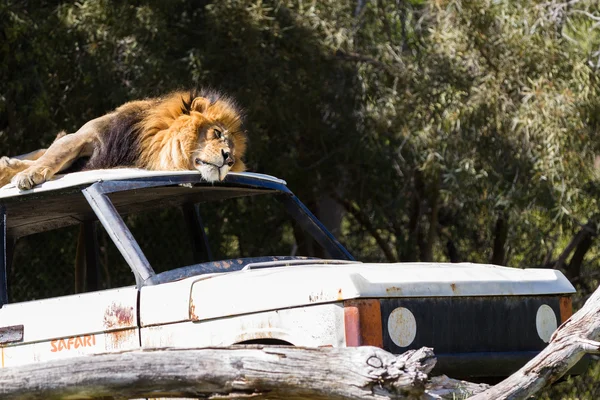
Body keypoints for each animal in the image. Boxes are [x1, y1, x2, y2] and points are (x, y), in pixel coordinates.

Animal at [0, 90, 247, 190]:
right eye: (217, 133)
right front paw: (27, 176)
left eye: (234, 153)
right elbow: (52, 157)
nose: (229, 159)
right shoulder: (84, 136)